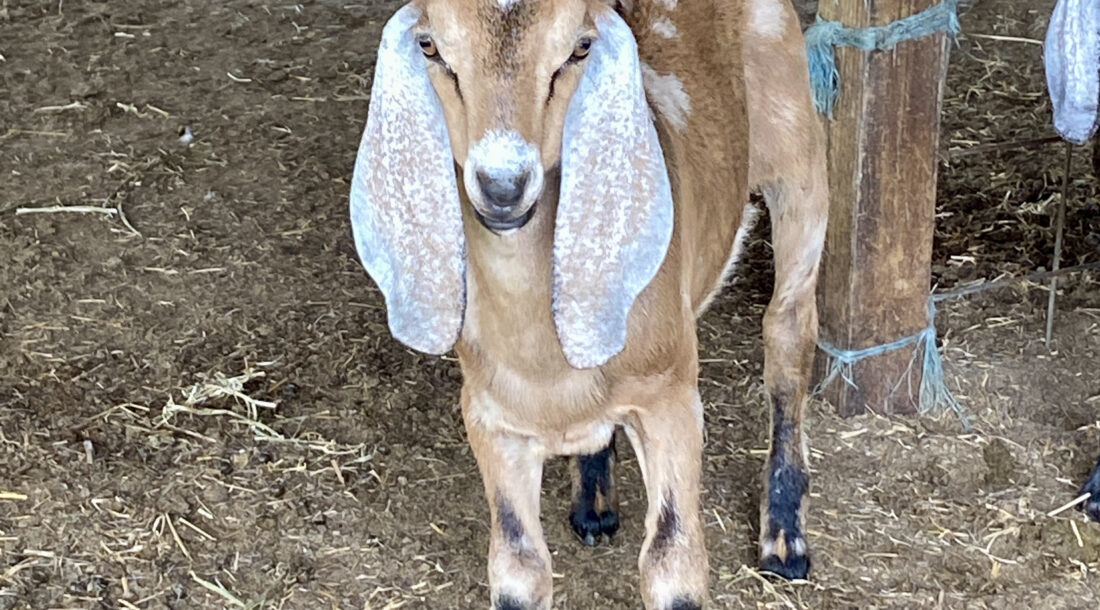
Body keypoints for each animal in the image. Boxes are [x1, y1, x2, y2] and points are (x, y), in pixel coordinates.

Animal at [348, 0, 827, 607]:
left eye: (579, 48)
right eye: (430, 46)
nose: (502, 184)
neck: (544, 370)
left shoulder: (671, 398)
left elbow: (674, 561)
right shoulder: (489, 418)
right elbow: (517, 565)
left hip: (796, 153)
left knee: (788, 333)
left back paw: (785, 540)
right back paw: (594, 502)